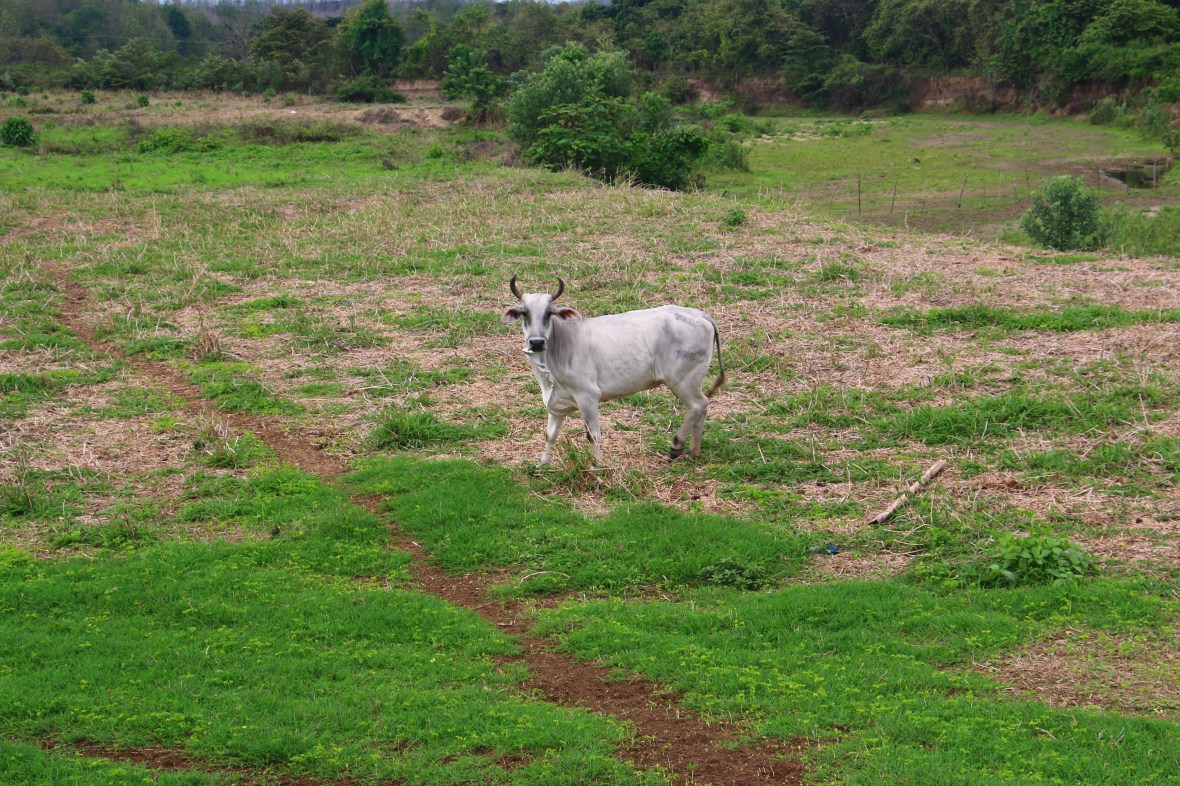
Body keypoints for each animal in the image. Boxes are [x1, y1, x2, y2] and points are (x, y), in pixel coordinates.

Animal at [502, 276, 725, 466]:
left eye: (549, 313)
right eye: (524, 313)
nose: (537, 342)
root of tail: (699, 314)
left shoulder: (588, 396)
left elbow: (592, 434)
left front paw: (596, 466)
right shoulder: (557, 404)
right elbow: (550, 435)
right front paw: (542, 465)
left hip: (683, 380)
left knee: (698, 405)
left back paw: (676, 446)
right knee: (701, 408)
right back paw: (694, 452)